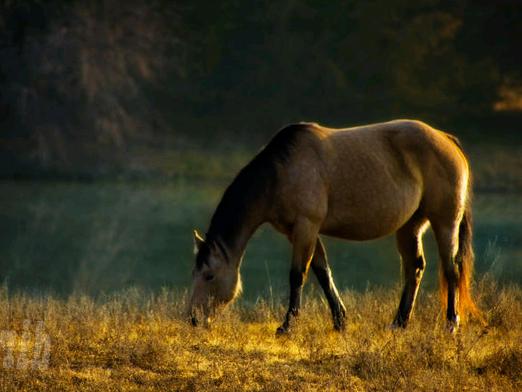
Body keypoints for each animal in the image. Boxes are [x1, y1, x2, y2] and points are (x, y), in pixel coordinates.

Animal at [189, 118, 478, 334]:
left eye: (209, 275)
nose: (193, 319)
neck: (281, 172)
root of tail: (447, 139)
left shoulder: (306, 226)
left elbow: (298, 275)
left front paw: (287, 326)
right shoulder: (300, 232)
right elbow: (323, 272)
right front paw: (340, 321)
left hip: (445, 222)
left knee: (451, 269)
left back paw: (451, 324)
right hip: (410, 225)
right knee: (414, 268)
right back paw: (399, 323)